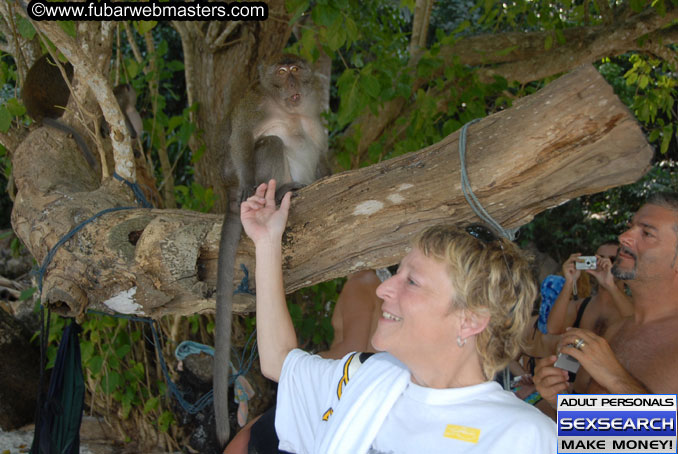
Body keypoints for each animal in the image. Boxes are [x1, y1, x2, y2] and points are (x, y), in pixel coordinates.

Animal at [212, 54, 330, 446]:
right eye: (281, 72)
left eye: (296, 70)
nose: (291, 81)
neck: (284, 105)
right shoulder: (253, 104)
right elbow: (240, 139)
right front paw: (252, 182)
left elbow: (318, 142)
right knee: (271, 143)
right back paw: (279, 190)